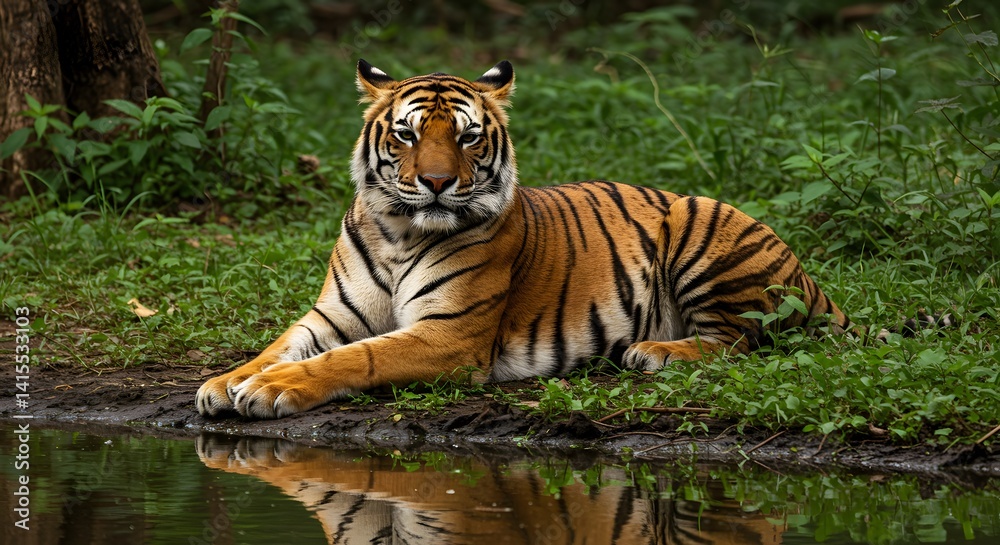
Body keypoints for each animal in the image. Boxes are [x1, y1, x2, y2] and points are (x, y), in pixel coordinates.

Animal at [195, 59, 849, 419]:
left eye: (467, 137)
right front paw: (225, 382)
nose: (437, 183)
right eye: (407, 135)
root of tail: (809, 276)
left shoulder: (450, 335)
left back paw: (655, 352)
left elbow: (358, 356)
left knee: (741, 341)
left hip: (701, 228)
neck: (398, 231)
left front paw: (272, 388)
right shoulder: (333, 314)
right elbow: (281, 344)